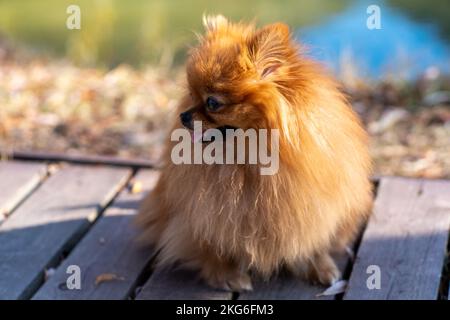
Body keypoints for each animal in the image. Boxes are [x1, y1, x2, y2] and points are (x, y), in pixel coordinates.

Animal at [137, 14, 372, 290]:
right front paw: (226, 275)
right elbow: (212, 244)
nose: (183, 116)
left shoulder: (312, 208)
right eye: (191, 94)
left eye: (212, 102)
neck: (248, 161)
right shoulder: (207, 214)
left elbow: (309, 240)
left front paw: (317, 265)